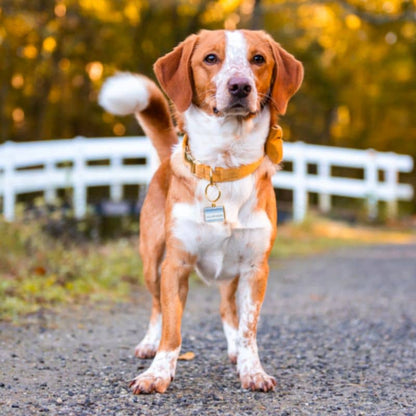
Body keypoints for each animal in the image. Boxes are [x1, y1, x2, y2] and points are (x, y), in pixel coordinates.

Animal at [99, 28, 304, 394]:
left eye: (258, 59)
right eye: (211, 58)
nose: (240, 86)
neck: (225, 166)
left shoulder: (255, 268)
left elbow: (249, 328)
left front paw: (252, 369)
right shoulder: (175, 265)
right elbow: (172, 328)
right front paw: (157, 373)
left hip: (230, 272)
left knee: (226, 308)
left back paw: (234, 348)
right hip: (151, 259)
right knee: (156, 306)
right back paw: (148, 343)